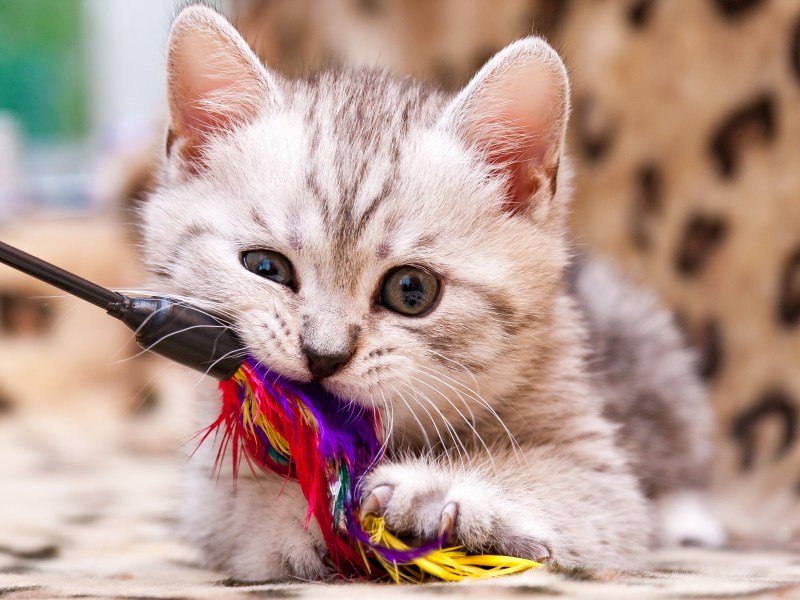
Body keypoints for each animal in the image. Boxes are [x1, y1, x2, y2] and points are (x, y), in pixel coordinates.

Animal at [141, 2, 720, 580]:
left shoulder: (598, 467)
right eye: (266, 267)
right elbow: (238, 508)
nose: (323, 355)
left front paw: (433, 490)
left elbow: (580, 488)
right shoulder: (206, 492)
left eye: (411, 290)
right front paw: (313, 513)